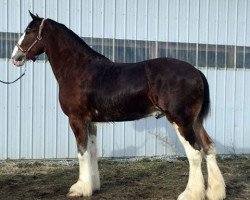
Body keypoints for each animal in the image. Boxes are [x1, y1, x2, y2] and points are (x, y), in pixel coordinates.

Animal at [11, 11, 226, 199]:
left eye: (29, 30)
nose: (15, 58)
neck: (78, 69)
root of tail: (196, 71)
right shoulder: (91, 122)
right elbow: (92, 152)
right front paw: (93, 186)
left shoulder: (76, 119)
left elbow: (82, 153)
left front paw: (79, 189)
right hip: (195, 121)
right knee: (208, 147)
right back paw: (215, 192)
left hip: (180, 121)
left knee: (195, 153)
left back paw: (190, 194)